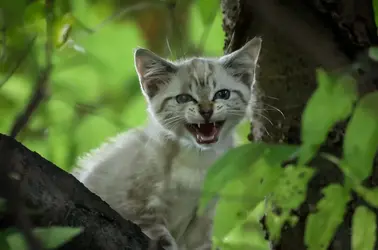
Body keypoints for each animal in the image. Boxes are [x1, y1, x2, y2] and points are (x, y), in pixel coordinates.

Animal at [72, 37, 262, 250]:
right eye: (183, 98)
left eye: (222, 94)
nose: (206, 111)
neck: (196, 160)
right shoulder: (138, 206)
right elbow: (159, 235)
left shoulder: (202, 217)